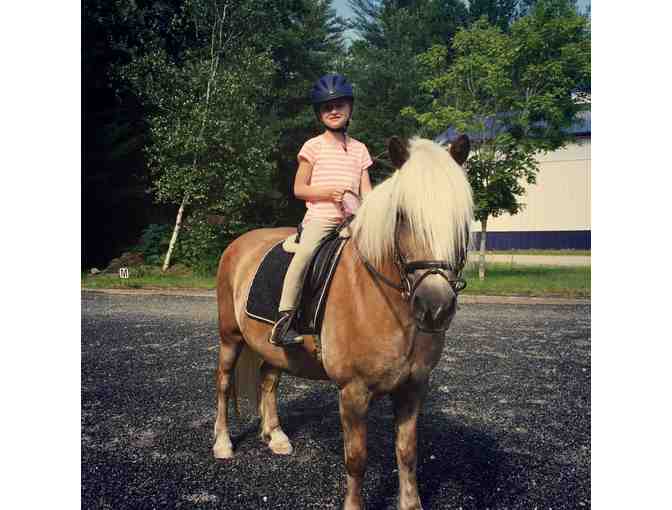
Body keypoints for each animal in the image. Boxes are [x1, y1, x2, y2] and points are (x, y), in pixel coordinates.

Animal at [213, 135, 474, 510]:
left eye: (462, 218)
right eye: (402, 215)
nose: (435, 307)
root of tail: (239, 244)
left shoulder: (414, 387)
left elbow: (407, 452)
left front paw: (410, 503)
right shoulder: (353, 391)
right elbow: (356, 458)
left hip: (272, 346)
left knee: (269, 379)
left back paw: (275, 436)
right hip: (230, 337)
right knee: (223, 383)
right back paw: (222, 443)